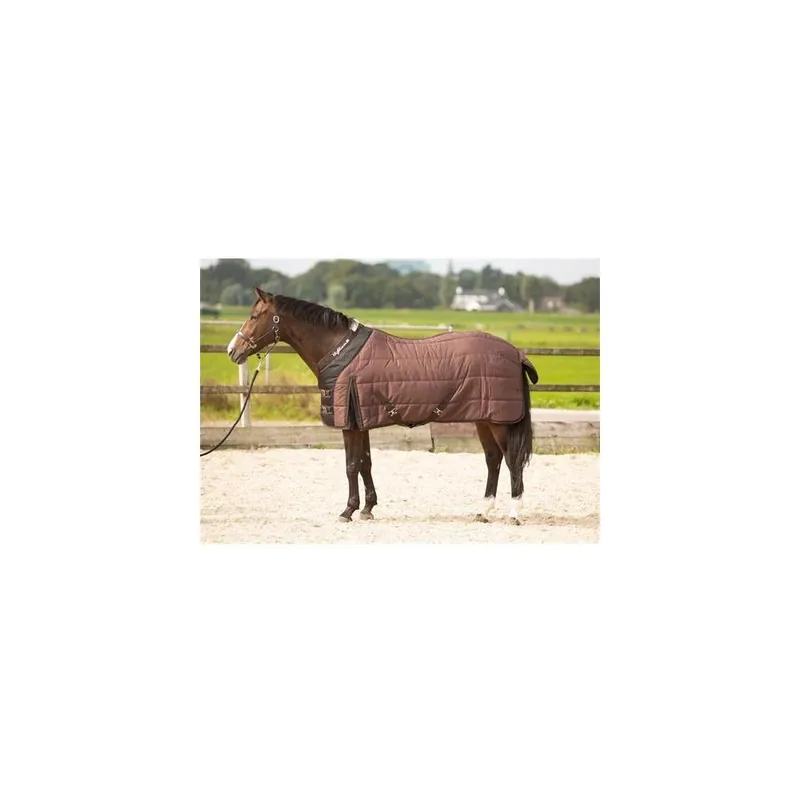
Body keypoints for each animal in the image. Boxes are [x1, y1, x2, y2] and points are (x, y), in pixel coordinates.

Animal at [226, 287, 539, 525]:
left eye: (254, 316)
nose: (232, 350)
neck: (339, 351)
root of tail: (516, 354)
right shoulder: (361, 419)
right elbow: (366, 463)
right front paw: (367, 509)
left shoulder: (349, 424)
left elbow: (351, 465)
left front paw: (347, 511)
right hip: (484, 419)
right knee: (493, 460)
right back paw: (482, 511)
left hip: (500, 422)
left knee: (511, 461)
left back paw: (513, 514)